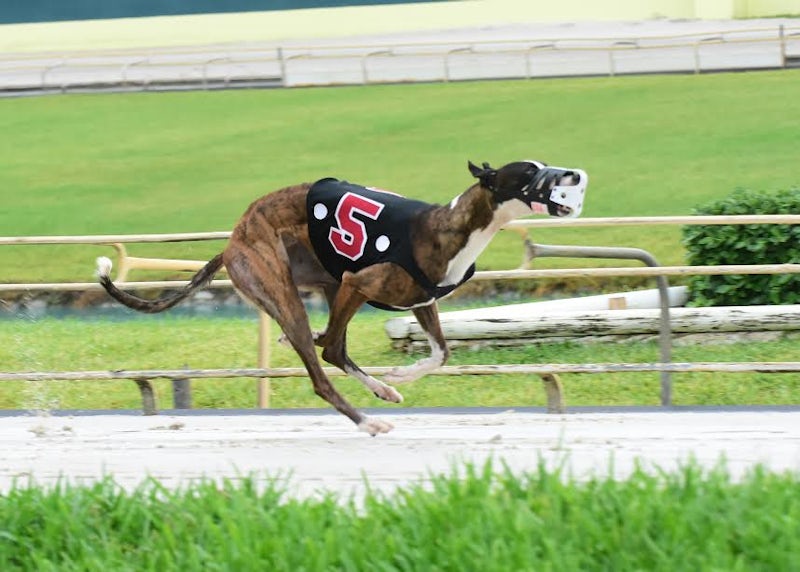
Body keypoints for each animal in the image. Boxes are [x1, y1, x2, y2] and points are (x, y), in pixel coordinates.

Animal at [96, 160, 587, 435]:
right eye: (529, 171)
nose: (574, 176)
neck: (451, 224)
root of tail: (233, 241)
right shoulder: (359, 281)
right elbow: (339, 345)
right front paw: (395, 377)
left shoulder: (421, 300)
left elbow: (441, 353)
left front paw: (402, 375)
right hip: (290, 287)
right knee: (325, 359)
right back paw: (367, 420)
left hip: (325, 280)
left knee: (332, 347)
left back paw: (381, 389)